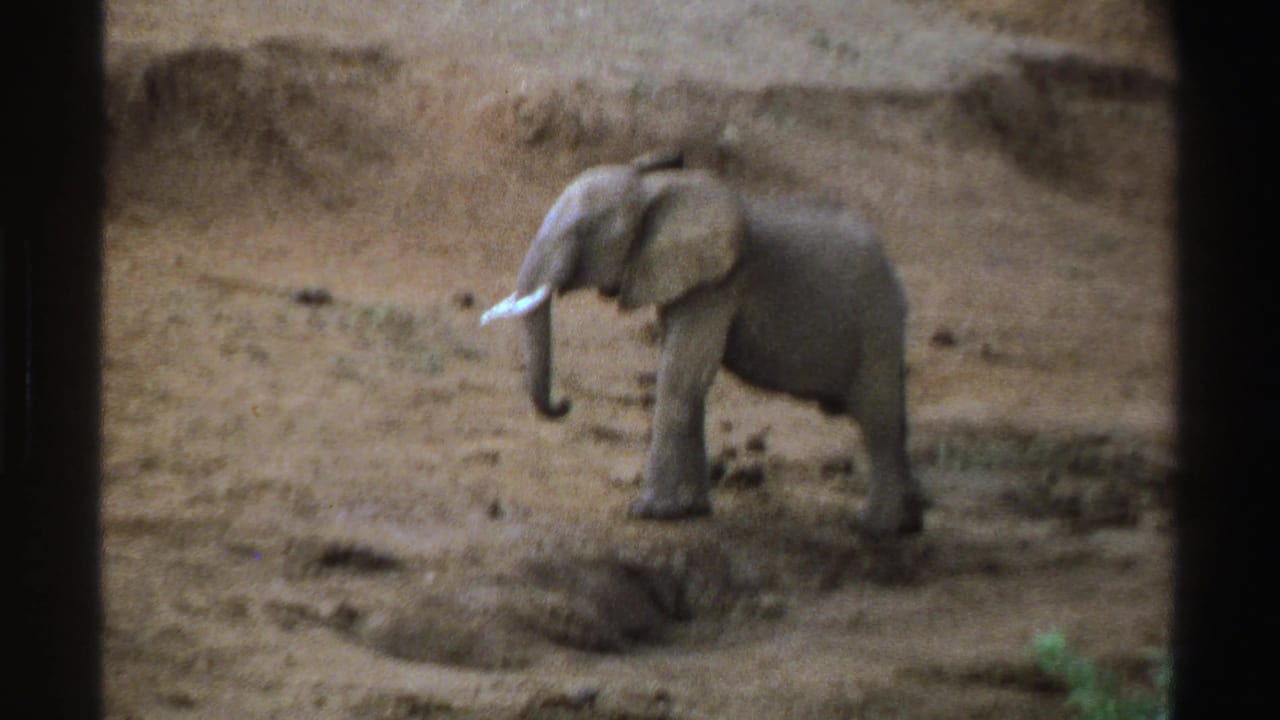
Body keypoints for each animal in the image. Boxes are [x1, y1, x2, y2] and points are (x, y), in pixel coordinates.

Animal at [482, 152, 924, 537]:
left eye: (582, 232)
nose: (564, 404)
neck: (655, 188)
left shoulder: (719, 284)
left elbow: (681, 375)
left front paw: (649, 513)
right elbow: (686, 377)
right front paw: (688, 511)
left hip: (876, 325)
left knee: (879, 419)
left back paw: (874, 529)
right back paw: (908, 524)